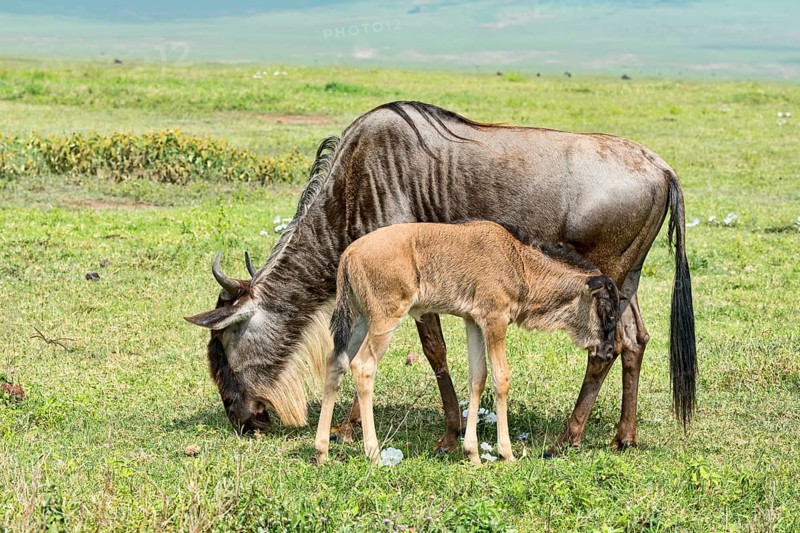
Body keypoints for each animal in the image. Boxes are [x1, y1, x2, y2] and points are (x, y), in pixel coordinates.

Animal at [313, 221, 620, 464]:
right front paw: (506, 453)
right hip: (384, 320)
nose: (607, 351)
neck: (519, 263)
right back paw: (374, 453)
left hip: (360, 320)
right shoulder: (495, 319)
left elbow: (478, 377)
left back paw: (321, 451)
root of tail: (349, 254)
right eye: (608, 311)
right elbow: (501, 378)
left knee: (336, 363)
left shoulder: (473, 321)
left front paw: (472, 453)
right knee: (363, 366)